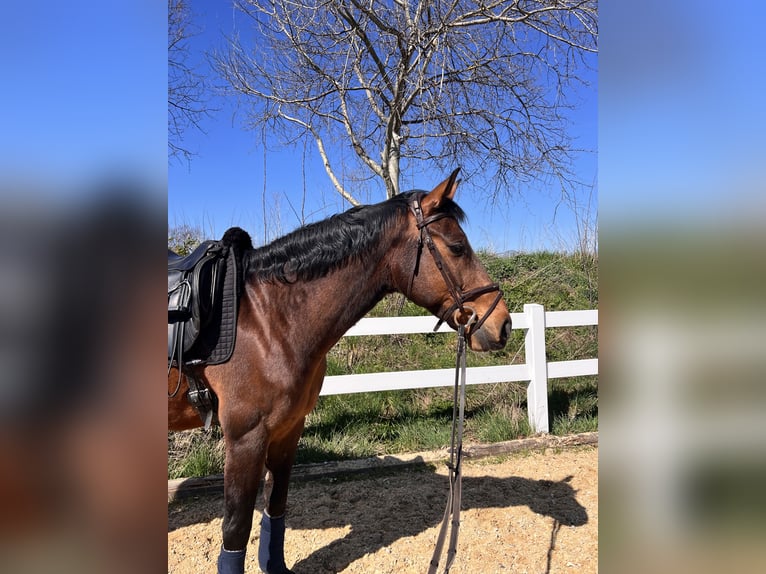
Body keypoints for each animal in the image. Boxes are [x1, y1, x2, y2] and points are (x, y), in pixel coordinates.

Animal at [168, 169, 512, 574]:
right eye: (457, 247)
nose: (503, 324)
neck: (268, 320)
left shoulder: (287, 430)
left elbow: (276, 508)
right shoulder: (244, 439)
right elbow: (236, 530)